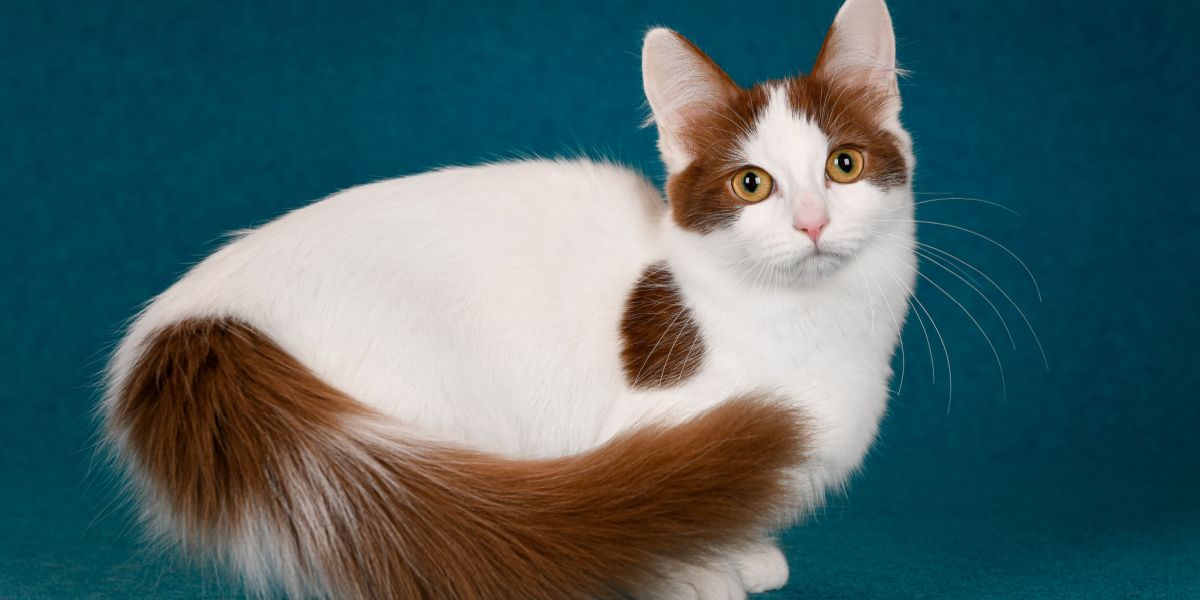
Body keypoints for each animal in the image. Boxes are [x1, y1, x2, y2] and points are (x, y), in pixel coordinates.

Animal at [100, 1, 916, 595]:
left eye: (843, 166)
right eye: (752, 183)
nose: (812, 221)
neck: (815, 327)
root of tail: (191, 318)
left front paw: (745, 553)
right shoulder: (658, 424)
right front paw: (691, 569)